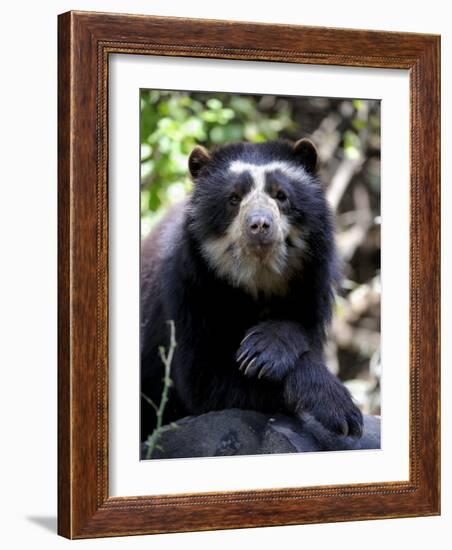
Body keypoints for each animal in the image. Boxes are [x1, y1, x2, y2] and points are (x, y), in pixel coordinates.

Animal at [141, 140, 364, 446]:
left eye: (281, 195)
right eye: (234, 198)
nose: (259, 225)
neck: (257, 278)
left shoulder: (312, 283)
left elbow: (300, 327)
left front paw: (264, 348)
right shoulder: (189, 290)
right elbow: (205, 381)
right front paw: (340, 410)